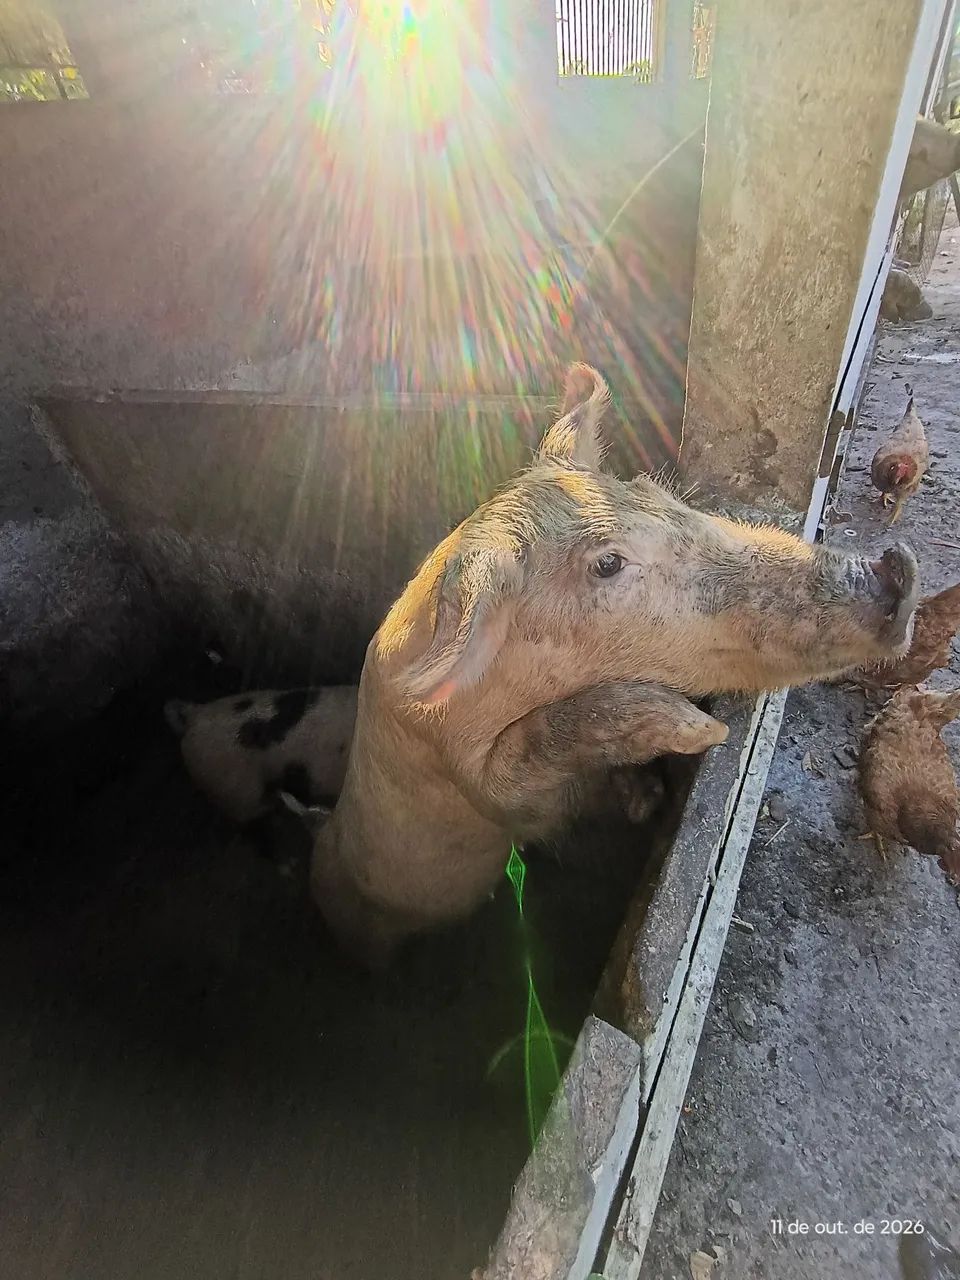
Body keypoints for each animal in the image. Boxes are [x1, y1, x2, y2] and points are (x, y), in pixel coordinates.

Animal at [312, 362, 920, 968]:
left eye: (655, 491)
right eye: (608, 564)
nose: (896, 571)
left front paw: (647, 793)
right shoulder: (483, 785)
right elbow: (530, 762)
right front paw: (698, 732)